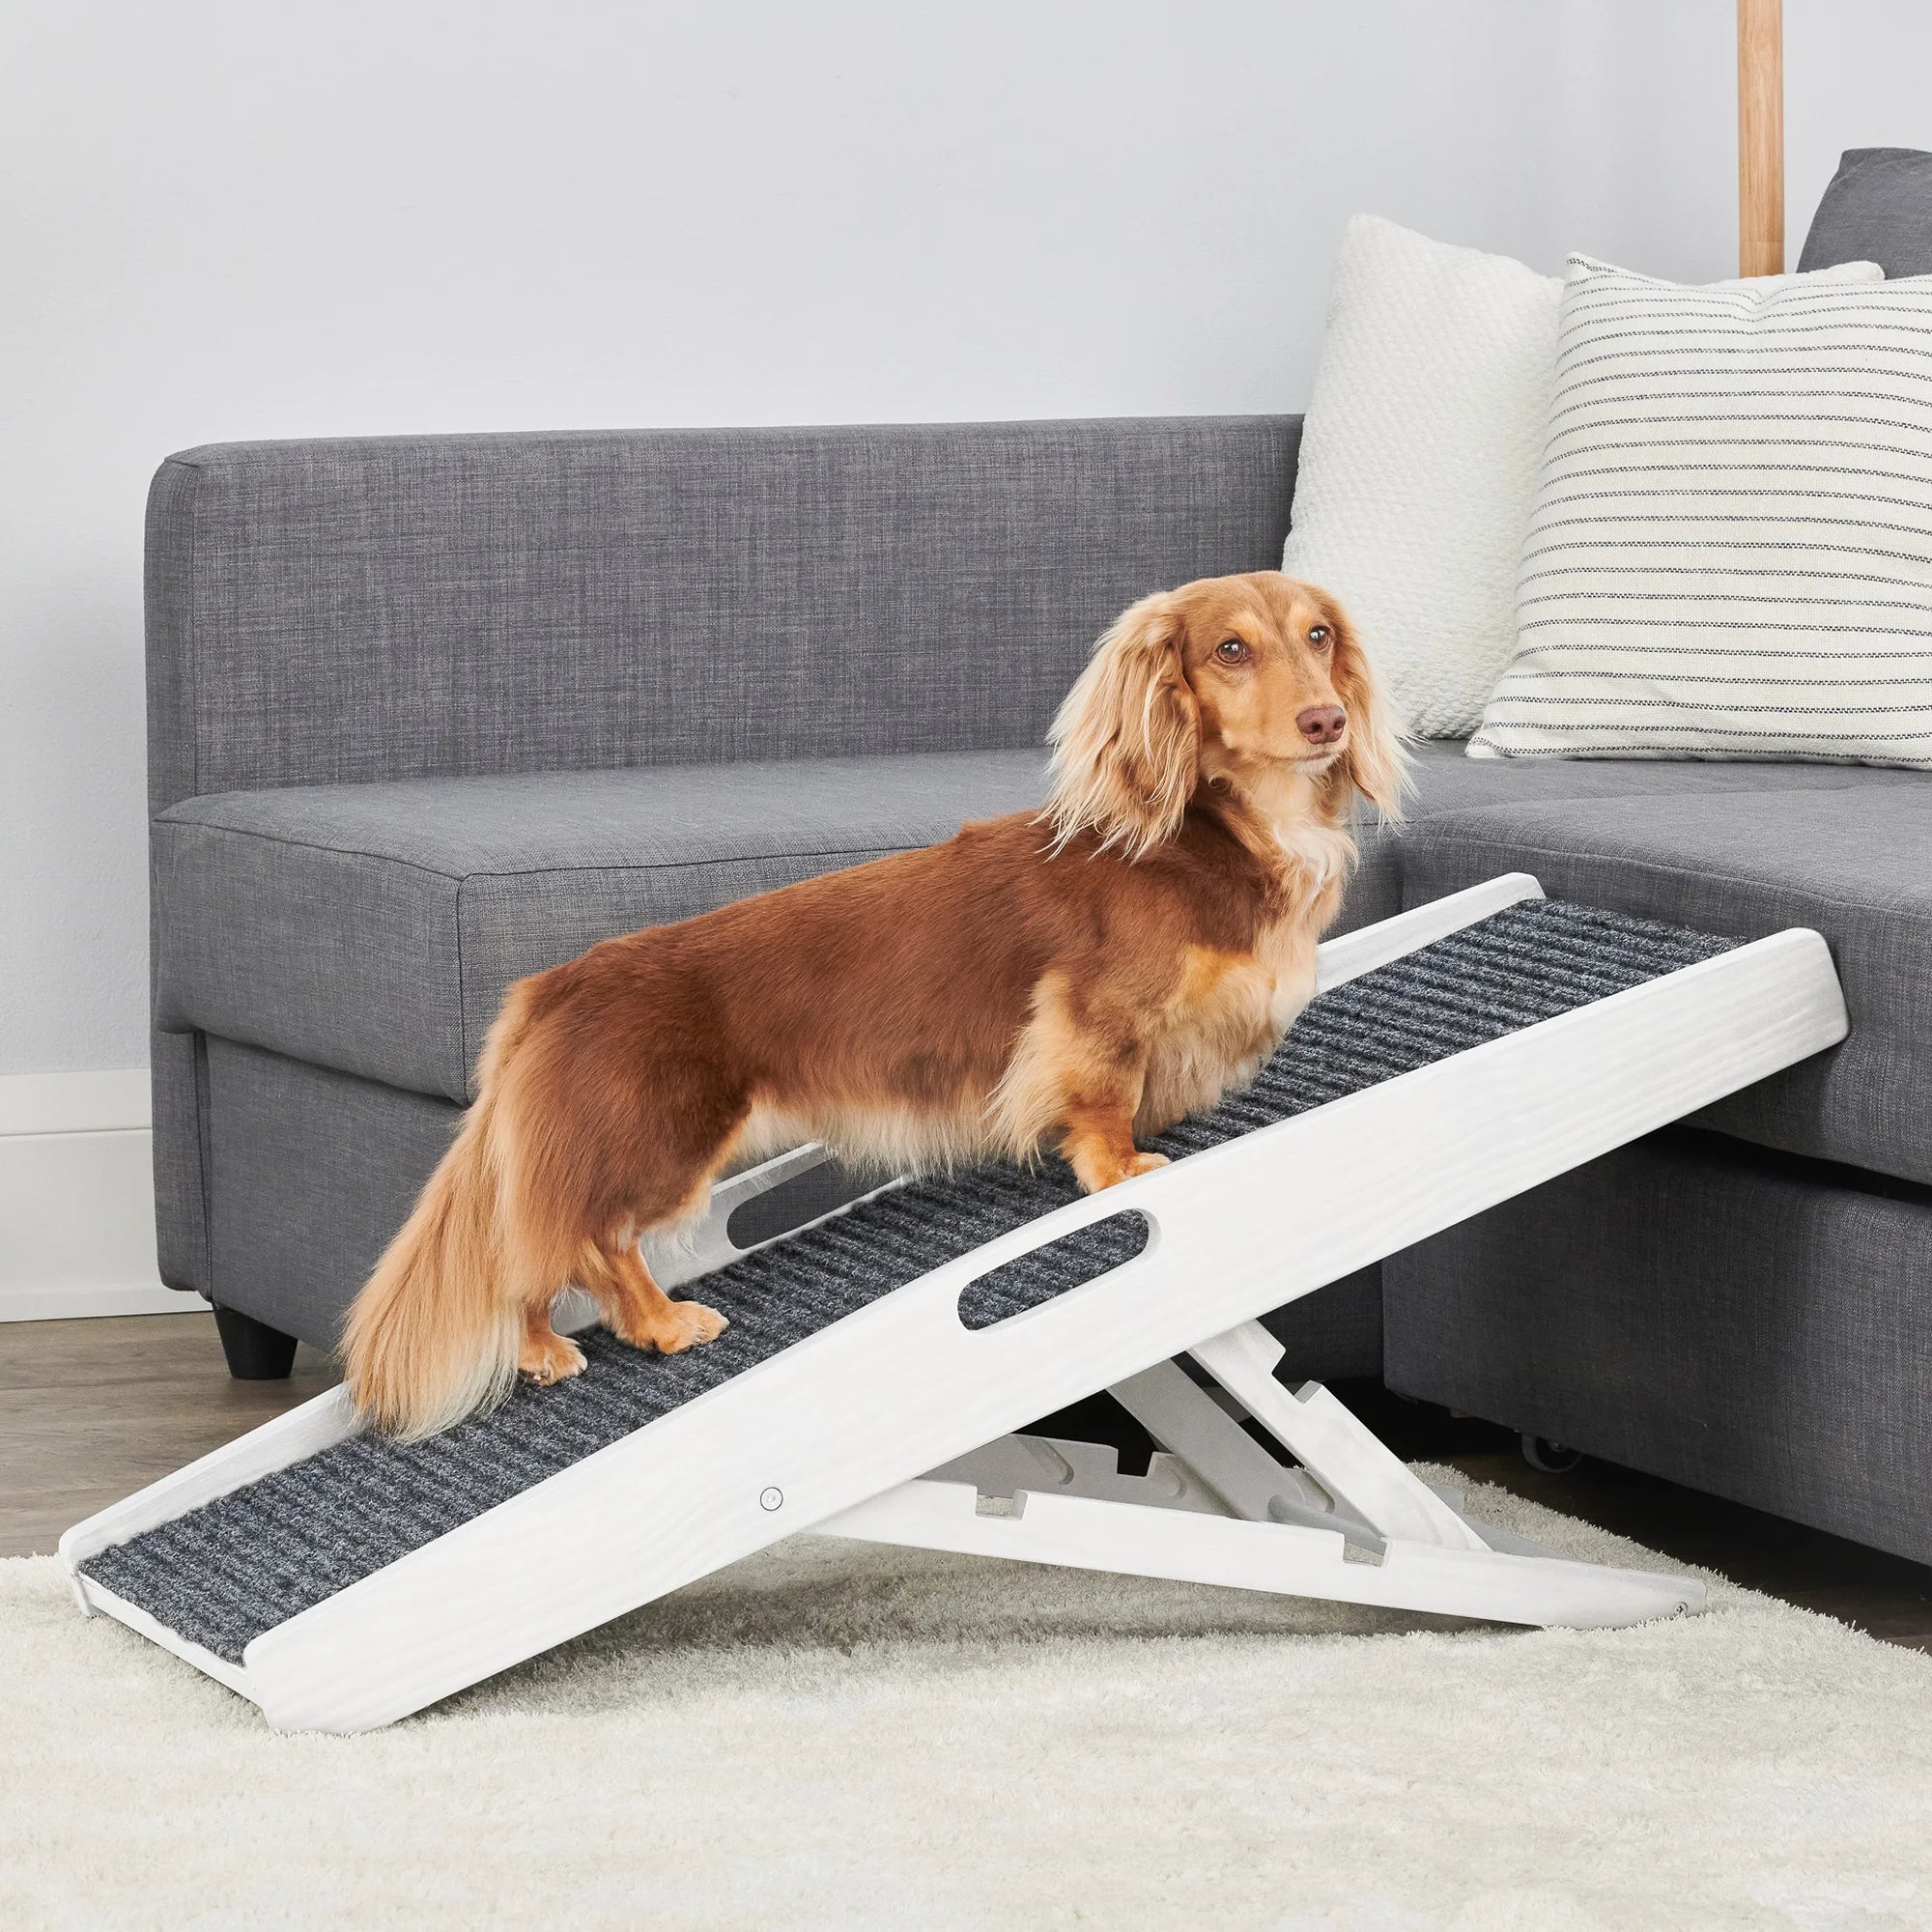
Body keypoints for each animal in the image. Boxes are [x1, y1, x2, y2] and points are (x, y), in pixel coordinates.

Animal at [348, 572, 1406, 1437]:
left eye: (1318, 635)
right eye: (1229, 648)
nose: (1325, 722)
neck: (1218, 831)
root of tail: (551, 985)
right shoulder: (1093, 1019)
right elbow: (1101, 1102)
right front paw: (1121, 1167)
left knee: (525, 1253)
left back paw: (538, 1349)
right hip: (662, 1143)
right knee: (588, 1242)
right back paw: (660, 1323)